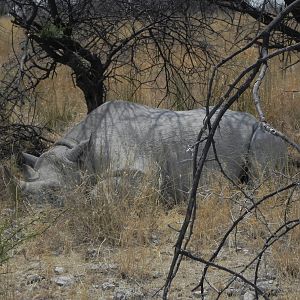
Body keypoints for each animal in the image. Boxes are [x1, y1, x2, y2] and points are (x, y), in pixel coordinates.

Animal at [17, 99, 288, 205]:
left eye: (55, 191)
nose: (32, 206)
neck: (80, 154)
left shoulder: (143, 173)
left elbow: (97, 192)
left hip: (263, 132)